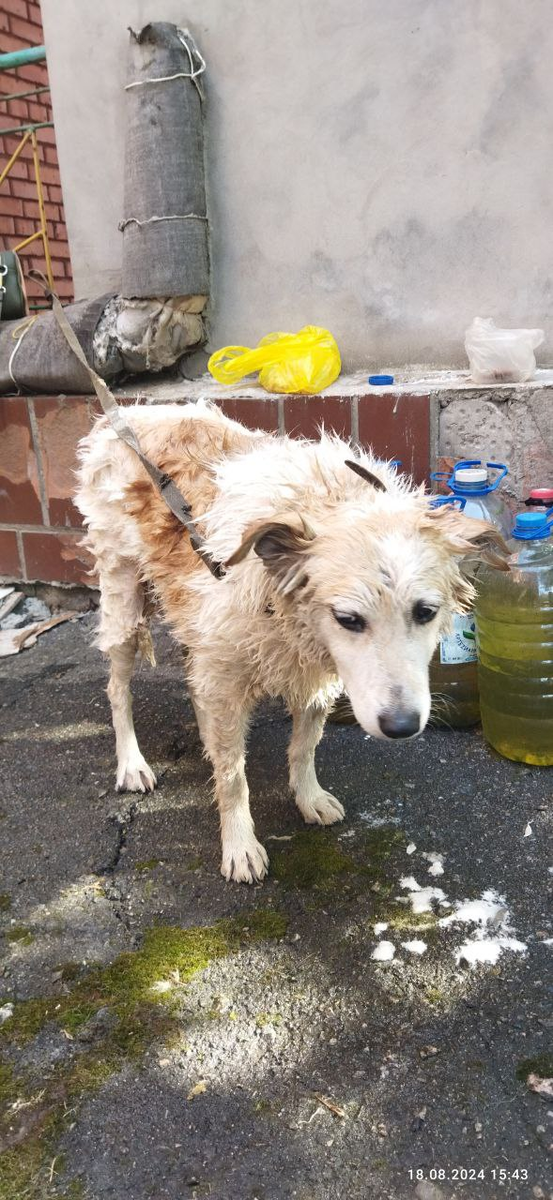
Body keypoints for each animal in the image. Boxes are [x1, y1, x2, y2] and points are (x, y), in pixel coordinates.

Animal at [74, 403, 503, 883]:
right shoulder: (229, 668)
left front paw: (308, 797)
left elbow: (303, 746)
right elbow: (233, 776)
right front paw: (240, 844)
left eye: (426, 612)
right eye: (348, 619)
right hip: (125, 603)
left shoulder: (314, 674)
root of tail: (131, 412)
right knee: (118, 690)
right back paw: (132, 763)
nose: (402, 726)